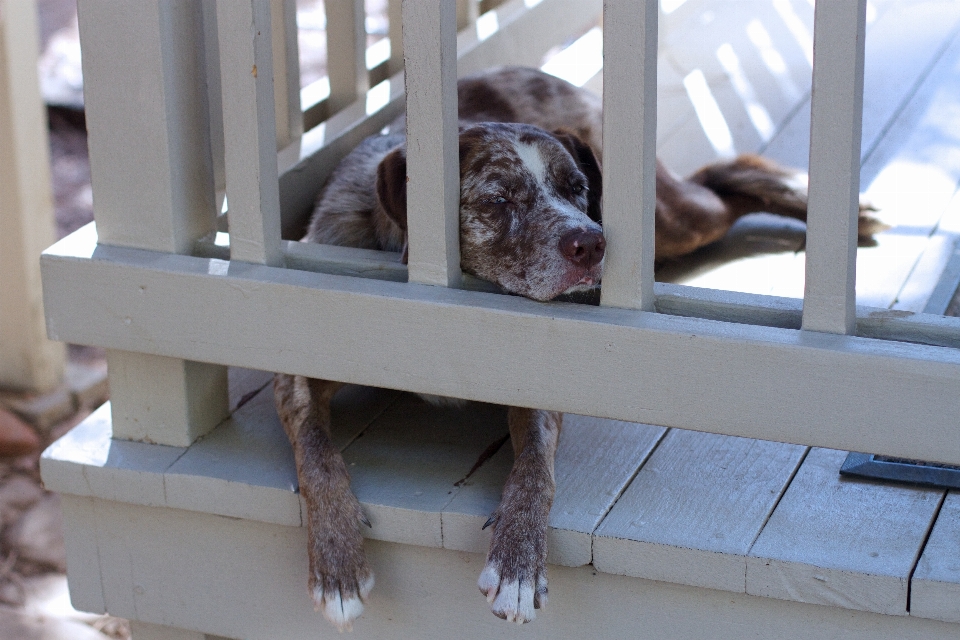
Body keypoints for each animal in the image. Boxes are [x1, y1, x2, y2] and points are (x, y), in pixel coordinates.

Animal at [274, 66, 880, 632]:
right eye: (499, 199)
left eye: (577, 189)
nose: (592, 242)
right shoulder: (293, 359)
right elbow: (318, 453)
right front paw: (337, 566)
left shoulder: (542, 379)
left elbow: (535, 470)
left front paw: (518, 565)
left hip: (666, 220)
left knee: (720, 183)